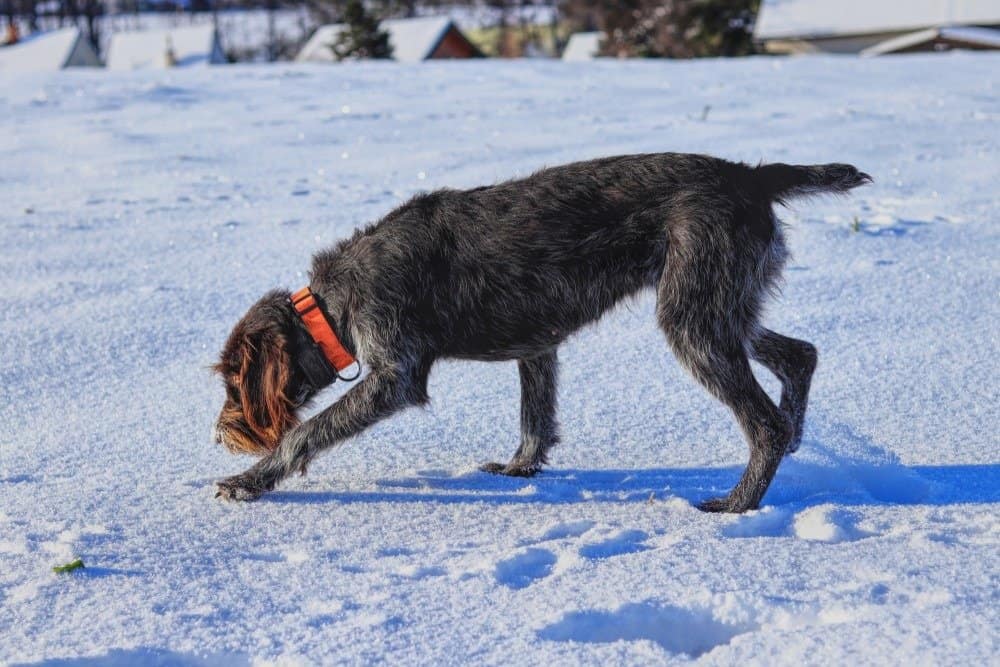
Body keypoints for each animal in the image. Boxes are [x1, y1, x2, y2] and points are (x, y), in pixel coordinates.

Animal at [211, 154, 868, 516]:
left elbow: (307, 433)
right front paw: (520, 470)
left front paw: (251, 480)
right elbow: (535, 416)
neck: (330, 306)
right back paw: (794, 438)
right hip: (722, 309)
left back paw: (739, 503)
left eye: (231, 380)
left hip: (694, 320)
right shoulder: (536, 345)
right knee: (800, 354)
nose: (221, 434)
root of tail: (751, 177)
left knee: (763, 421)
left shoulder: (394, 376)